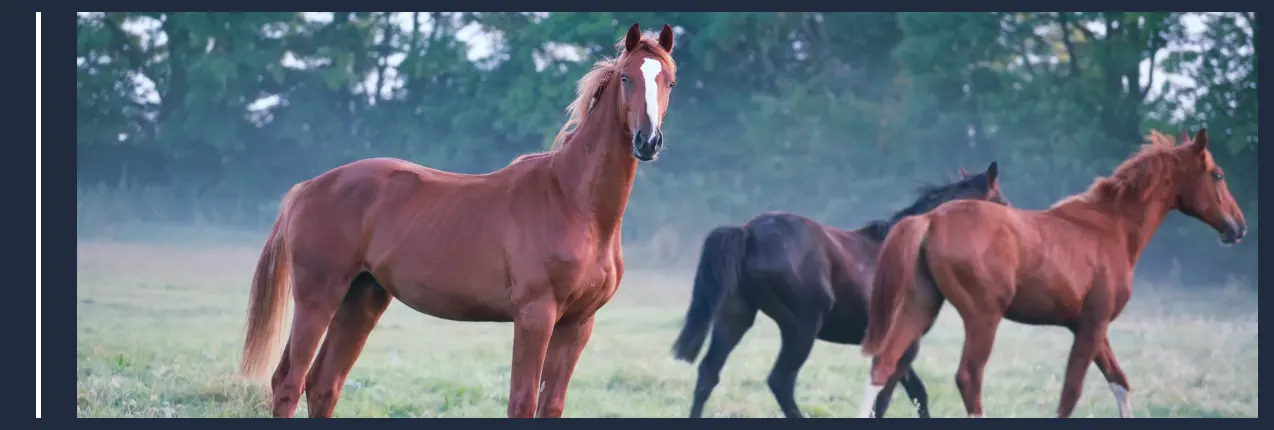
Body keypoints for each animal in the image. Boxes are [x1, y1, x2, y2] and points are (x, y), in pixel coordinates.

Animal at [237, 23, 679, 418]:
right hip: (319, 297)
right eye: (626, 77)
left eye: (669, 82)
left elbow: (551, 406)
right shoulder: (535, 316)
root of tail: (307, 188)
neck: (573, 203)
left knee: (324, 385)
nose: (648, 141)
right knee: (289, 383)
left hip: (361, 298)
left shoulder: (578, 324)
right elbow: (522, 403)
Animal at [670, 162, 1010, 418]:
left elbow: (916, 394)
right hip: (802, 326)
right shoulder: (906, 345)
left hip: (736, 316)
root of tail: (746, 233)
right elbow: (884, 400)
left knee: (708, 373)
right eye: (1002, 203)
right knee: (780, 381)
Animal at [856, 129, 1247, 418]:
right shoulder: (1092, 326)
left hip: (920, 305)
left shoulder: (1091, 326)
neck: (1111, 228)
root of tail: (931, 219)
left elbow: (1119, 383)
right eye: (1217, 174)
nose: (1238, 227)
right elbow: (1071, 394)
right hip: (983, 317)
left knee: (883, 367)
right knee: (968, 377)